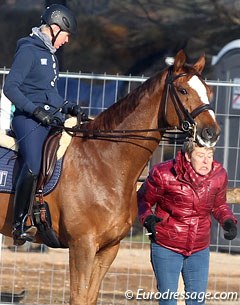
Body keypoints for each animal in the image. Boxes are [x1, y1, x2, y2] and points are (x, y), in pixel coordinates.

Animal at [0, 50, 220, 304]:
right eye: (183, 90)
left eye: (209, 91)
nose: (211, 133)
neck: (104, 161)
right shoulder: (82, 246)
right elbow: (78, 297)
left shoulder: (108, 248)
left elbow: (91, 297)